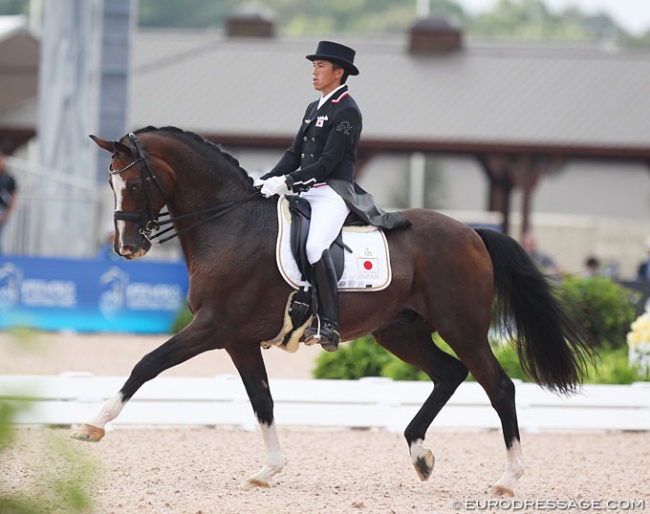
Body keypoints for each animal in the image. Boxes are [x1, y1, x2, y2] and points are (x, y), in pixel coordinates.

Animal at [72, 125, 592, 496]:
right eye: (111, 182)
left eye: (133, 181)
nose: (127, 248)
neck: (230, 223)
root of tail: (473, 233)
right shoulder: (238, 339)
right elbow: (262, 401)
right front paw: (268, 471)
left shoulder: (213, 327)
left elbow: (147, 364)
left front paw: (91, 426)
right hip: (400, 332)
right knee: (450, 374)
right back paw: (420, 454)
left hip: (460, 326)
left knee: (499, 386)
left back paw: (508, 479)